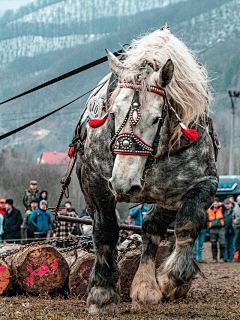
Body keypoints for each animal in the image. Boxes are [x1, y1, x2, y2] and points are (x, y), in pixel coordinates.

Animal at [75, 25, 219, 316]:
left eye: (156, 118)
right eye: (113, 112)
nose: (123, 184)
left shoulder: (205, 182)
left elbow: (188, 223)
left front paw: (173, 279)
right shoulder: (96, 181)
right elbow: (105, 230)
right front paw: (101, 293)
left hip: (166, 198)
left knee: (152, 226)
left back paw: (146, 286)